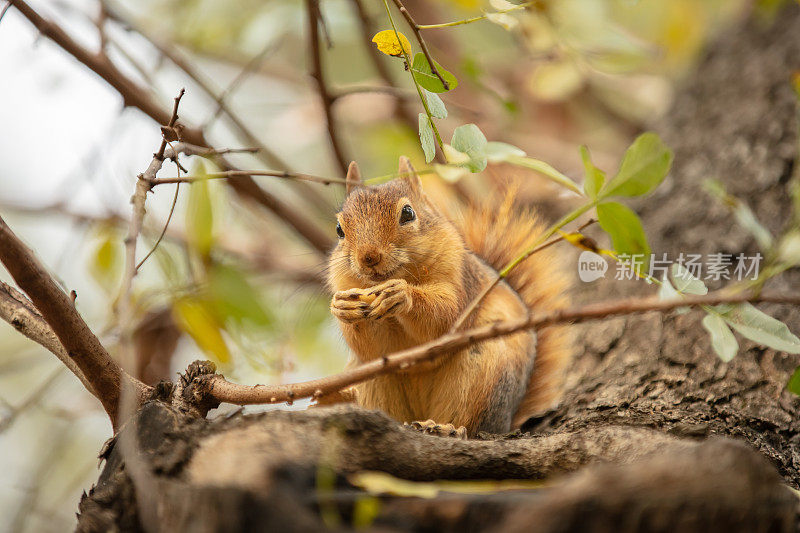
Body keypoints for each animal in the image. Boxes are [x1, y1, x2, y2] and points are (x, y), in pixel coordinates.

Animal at [324, 155, 568, 436]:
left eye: (407, 213)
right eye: (339, 229)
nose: (368, 257)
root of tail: (506, 421)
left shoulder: (459, 278)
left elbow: (445, 319)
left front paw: (403, 295)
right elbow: (376, 351)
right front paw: (343, 308)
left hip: (483, 375)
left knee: (470, 425)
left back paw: (444, 428)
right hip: (368, 380)